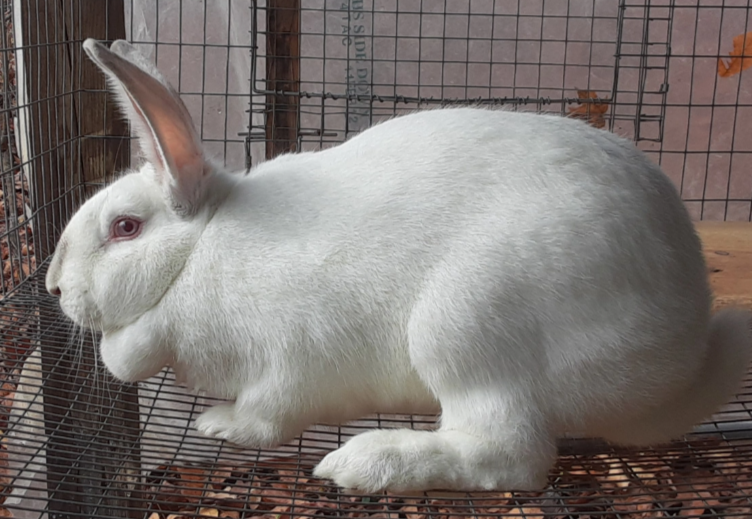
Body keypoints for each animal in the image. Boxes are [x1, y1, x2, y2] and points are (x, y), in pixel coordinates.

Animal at [45, 38, 752, 494]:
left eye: (125, 228)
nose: (52, 285)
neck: (200, 252)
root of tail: (681, 356)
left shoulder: (290, 366)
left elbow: (266, 417)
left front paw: (217, 425)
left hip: (464, 326)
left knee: (509, 456)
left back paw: (367, 464)